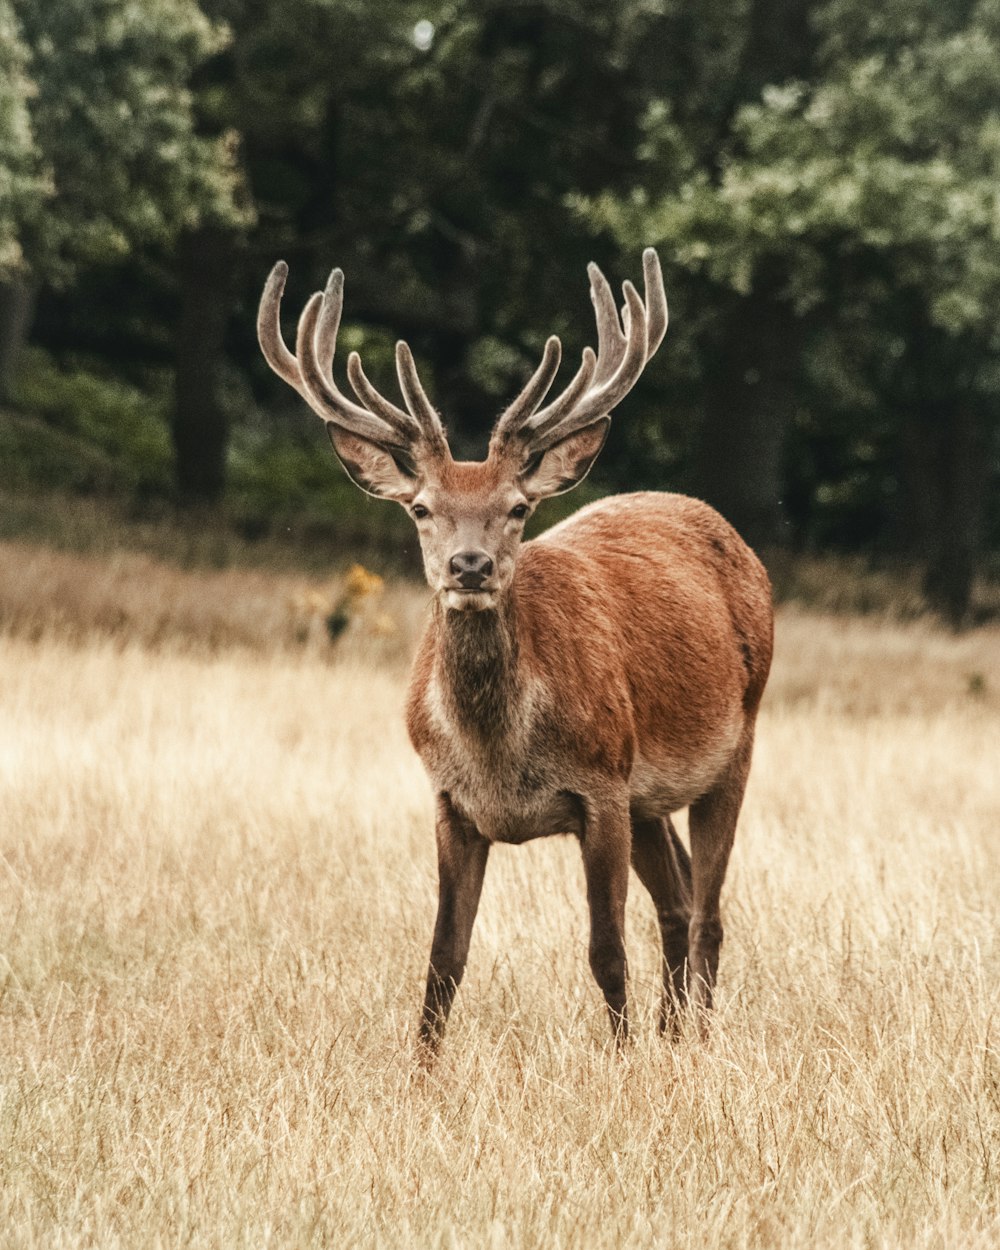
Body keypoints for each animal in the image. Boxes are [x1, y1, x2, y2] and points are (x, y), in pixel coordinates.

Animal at [257, 251, 775, 1055]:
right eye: (421, 508)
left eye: (518, 509)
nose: (469, 566)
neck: (499, 753)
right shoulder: (451, 800)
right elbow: (444, 955)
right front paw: (422, 1070)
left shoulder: (601, 785)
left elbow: (605, 949)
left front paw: (619, 1059)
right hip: (649, 795)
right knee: (681, 899)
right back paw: (671, 1034)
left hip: (734, 742)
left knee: (708, 910)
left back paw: (692, 1041)